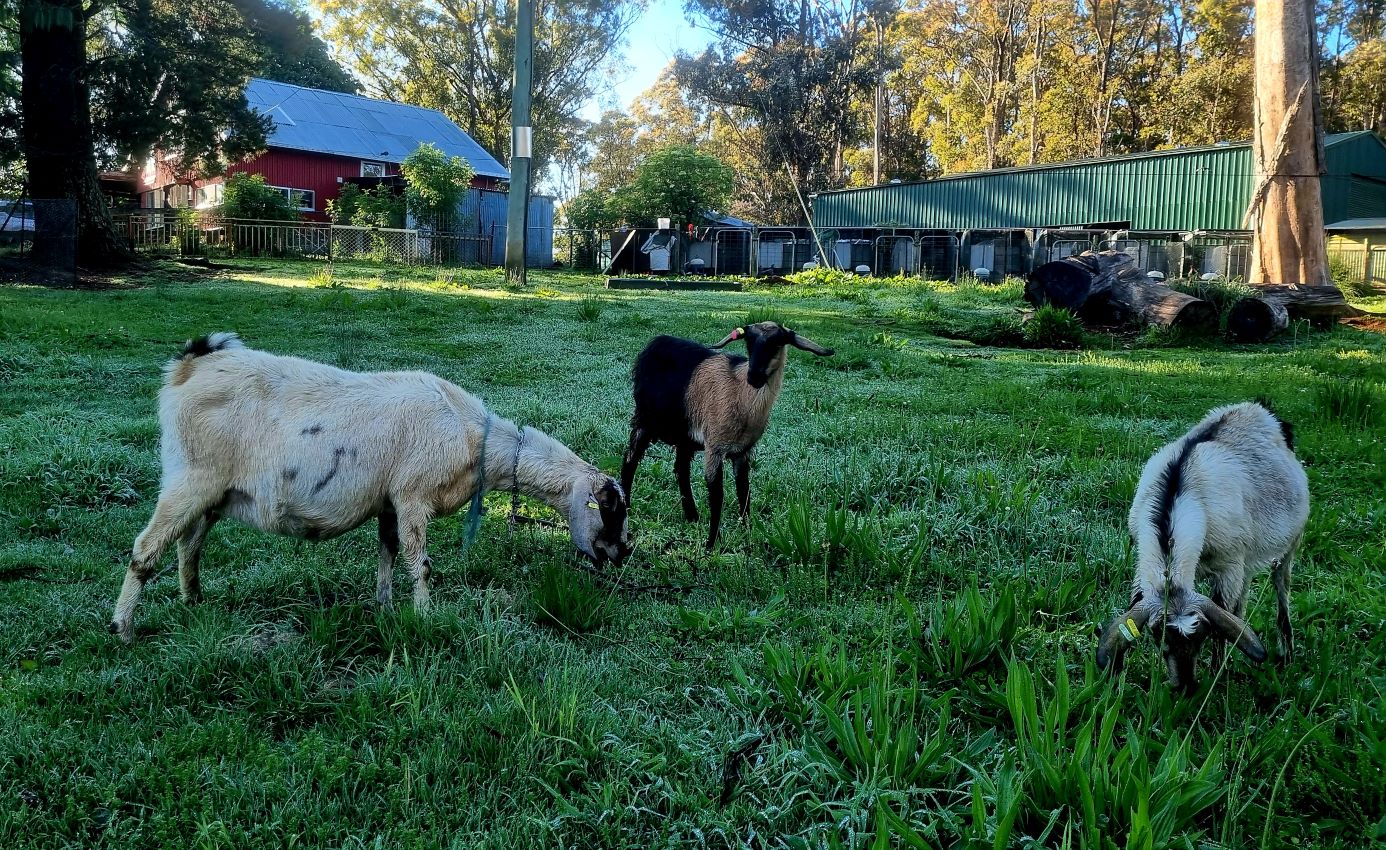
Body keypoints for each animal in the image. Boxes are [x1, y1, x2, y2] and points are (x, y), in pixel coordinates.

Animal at [110, 332, 629, 643]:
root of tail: (190, 366)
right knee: (145, 548)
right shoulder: (413, 495)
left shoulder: (390, 502)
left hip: (215, 492)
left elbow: (387, 553)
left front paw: (385, 608)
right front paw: (425, 618)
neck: (475, 440)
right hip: (189, 476)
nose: (621, 554)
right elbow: (421, 563)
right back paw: (123, 627)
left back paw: (193, 601)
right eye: (610, 510)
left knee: (188, 545)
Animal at [620, 321, 833, 550]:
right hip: (644, 420)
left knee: (681, 469)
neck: (740, 393)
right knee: (630, 460)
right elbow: (717, 495)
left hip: (685, 433)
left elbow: (744, 490)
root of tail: (656, 341)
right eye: (749, 341)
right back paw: (627, 507)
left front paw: (747, 533)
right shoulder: (714, 447)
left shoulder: (743, 451)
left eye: (776, 343)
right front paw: (711, 543)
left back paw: (692, 516)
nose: (754, 377)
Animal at [1096, 401, 1309, 693]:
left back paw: (1286, 653)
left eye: (1200, 638)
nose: (1185, 687)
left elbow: (1223, 621)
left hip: (1291, 541)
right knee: (1242, 600)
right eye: (1159, 639)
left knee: (1281, 586)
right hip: (1248, 561)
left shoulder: (1229, 567)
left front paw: (1218, 672)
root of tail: (1261, 408)